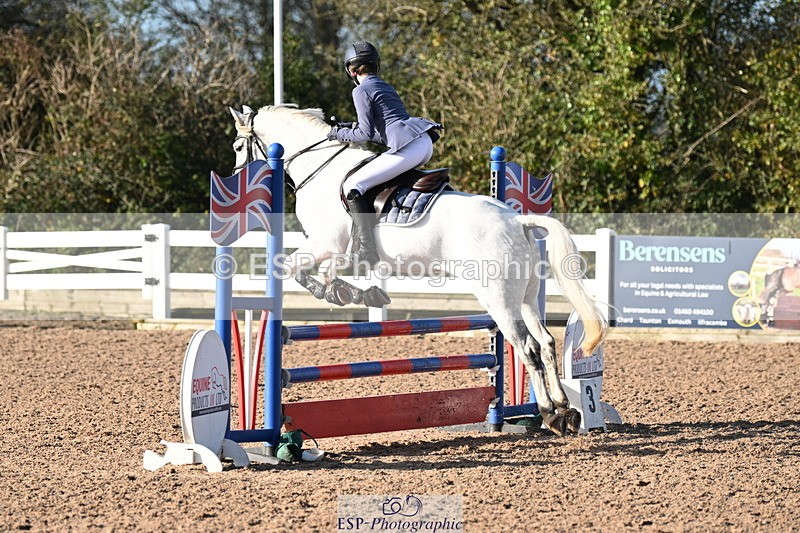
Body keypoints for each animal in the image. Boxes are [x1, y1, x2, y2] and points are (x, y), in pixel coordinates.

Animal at [228, 104, 608, 437]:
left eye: (237, 146)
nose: (235, 176)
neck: (319, 169)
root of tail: (517, 220)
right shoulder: (329, 247)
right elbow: (318, 270)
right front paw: (357, 292)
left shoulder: (327, 243)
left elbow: (298, 268)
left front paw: (338, 291)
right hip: (525, 298)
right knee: (545, 342)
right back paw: (565, 410)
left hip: (499, 300)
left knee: (528, 347)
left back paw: (550, 413)